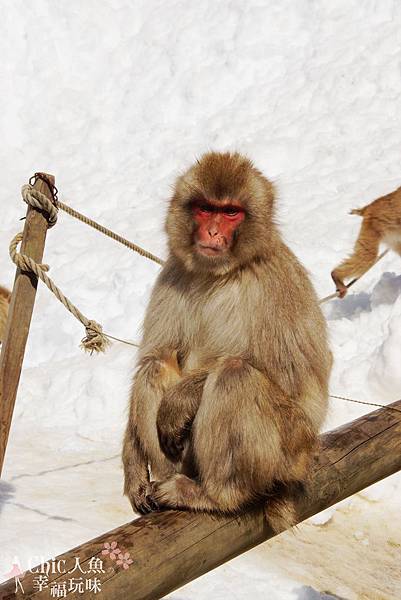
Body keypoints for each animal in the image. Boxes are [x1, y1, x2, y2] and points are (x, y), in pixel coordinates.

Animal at [122, 152, 332, 532]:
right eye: (206, 208)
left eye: (231, 212)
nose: (213, 231)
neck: (222, 273)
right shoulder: (174, 273)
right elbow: (155, 354)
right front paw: (133, 470)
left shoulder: (273, 285)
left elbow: (294, 384)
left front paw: (180, 400)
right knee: (155, 367)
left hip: (288, 454)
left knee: (236, 374)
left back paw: (216, 496)